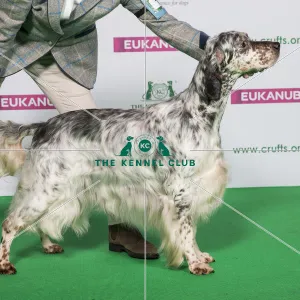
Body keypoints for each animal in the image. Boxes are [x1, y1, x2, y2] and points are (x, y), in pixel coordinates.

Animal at [1, 31, 280, 276]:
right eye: (243, 43)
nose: (277, 45)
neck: (197, 114)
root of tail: (44, 125)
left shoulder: (195, 189)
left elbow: (192, 231)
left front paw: (200, 256)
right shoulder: (181, 191)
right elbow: (186, 231)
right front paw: (195, 264)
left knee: (40, 221)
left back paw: (49, 245)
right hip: (46, 188)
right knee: (11, 223)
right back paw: (6, 264)